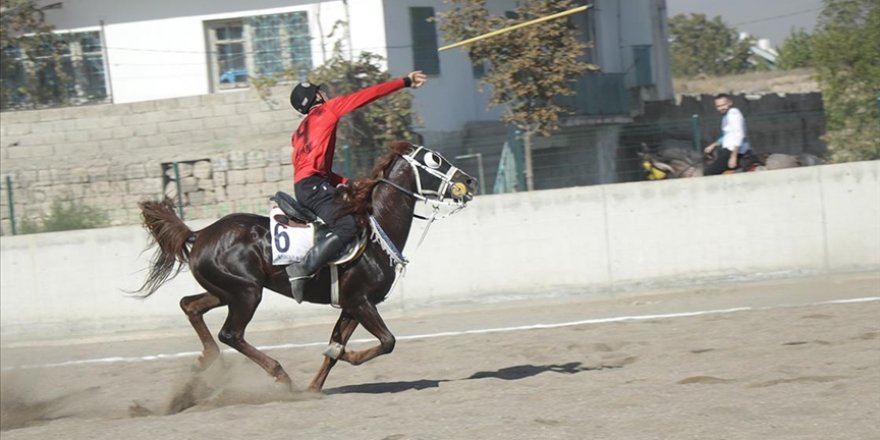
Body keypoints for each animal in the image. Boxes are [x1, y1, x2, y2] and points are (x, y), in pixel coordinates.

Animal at [134, 141, 478, 392]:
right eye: (435, 160)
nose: (468, 180)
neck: (374, 230)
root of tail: (200, 234)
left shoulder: (351, 306)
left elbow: (335, 348)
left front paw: (317, 383)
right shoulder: (361, 302)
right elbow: (387, 341)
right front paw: (348, 356)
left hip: (225, 290)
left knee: (190, 306)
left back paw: (205, 360)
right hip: (246, 293)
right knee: (230, 334)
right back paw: (279, 374)